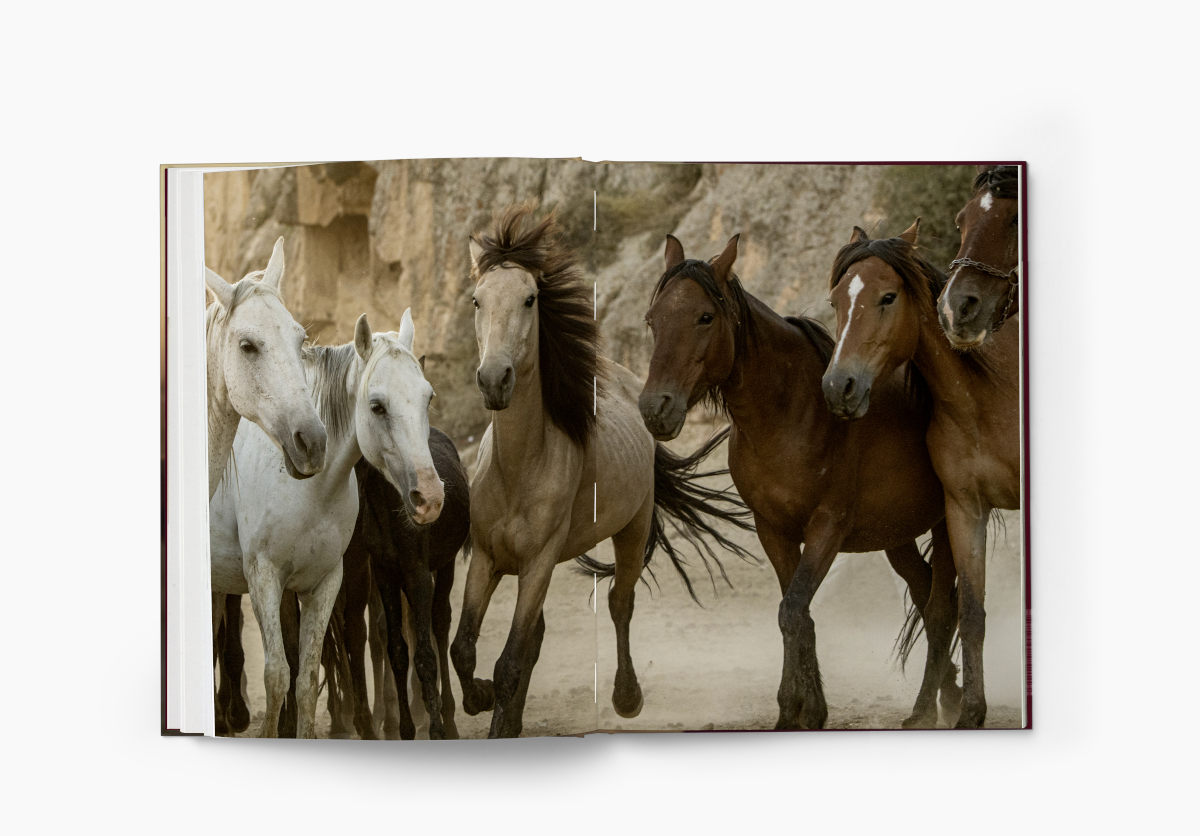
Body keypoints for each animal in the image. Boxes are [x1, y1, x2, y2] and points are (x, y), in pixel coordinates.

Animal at [209, 310, 444, 737]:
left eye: (428, 397)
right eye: (377, 406)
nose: (430, 497)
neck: (308, 486)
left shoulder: (324, 582)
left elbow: (305, 679)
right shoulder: (265, 578)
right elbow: (277, 675)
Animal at [327, 432, 471, 740]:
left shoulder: (418, 573)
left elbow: (425, 654)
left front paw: (436, 729)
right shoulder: (386, 576)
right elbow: (397, 651)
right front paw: (405, 728)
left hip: (445, 564)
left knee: (440, 623)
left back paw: (449, 721)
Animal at [450, 206, 753, 738]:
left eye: (530, 298)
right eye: (476, 300)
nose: (493, 379)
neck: (519, 469)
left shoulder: (538, 563)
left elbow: (508, 661)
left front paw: (493, 705)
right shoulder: (486, 558)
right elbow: (465, 648)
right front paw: (482, 700)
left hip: (632, 530)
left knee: (619, 602)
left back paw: (626, 697)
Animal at [639, 233, 960, 730]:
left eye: (705, 317)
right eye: (653, 319)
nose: (656, 408)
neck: (792, 412)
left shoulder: (826, 527)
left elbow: (793, 611)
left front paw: (795, 708)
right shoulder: (774, 530)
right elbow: (797, 614)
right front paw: (806, 709)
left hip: (946, 524)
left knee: (944, 608)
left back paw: (930, 707)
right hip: (898, 537)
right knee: (927, 598)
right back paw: (952, 692)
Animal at [822, 221, 1020, 728]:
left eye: (888, 297)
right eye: (835, 301)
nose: (838, 386)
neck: (987, 395)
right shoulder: (964, 509)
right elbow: (970, 613)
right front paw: (969, 712)